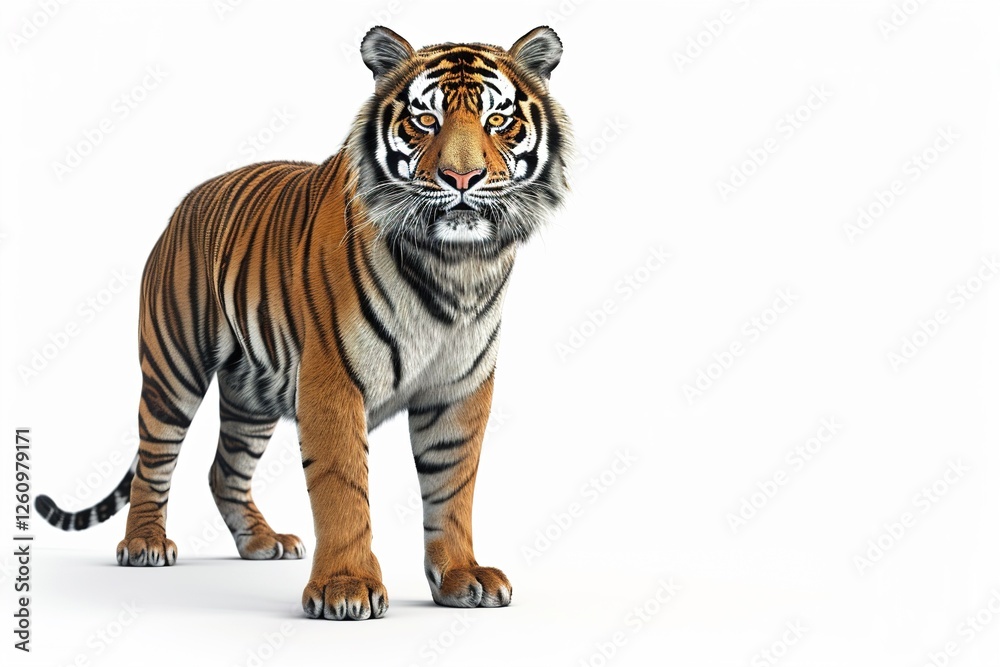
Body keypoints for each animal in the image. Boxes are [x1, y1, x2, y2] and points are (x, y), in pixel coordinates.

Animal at [34, 25, 570, 620]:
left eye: (497, 119)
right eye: (425, 120)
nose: (461, 177)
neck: (455, 265)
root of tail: (187, 200)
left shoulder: (460, 387)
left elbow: (452, 487)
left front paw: (461, 576)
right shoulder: (331, 378)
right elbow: (342, 488)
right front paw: (346, 587)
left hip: (251, 391)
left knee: (224, 469)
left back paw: (262, 542)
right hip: (173, 368)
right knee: (155, 459)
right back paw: (144, 544)